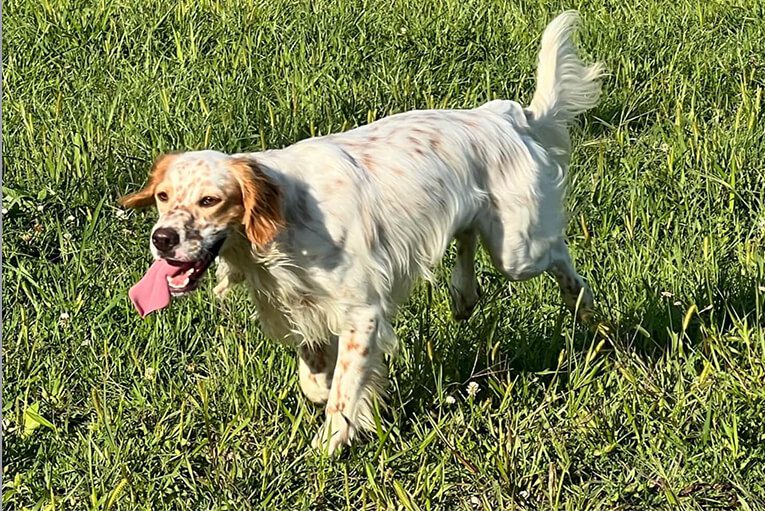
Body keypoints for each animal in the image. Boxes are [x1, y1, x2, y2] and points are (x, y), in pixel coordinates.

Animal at [121, 10, 604, 454]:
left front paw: (329, 444)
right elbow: (316, 377)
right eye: (163, 196)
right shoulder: (301, 307)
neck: (284, 220)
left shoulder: (362, 313)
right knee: (466, 238)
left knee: (560, 259)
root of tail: (505, 116)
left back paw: (583, 307)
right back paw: (464, 295)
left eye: (210, 200)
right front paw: (339, 401)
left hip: (518, 251)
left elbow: (341, 391)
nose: (162, 239)